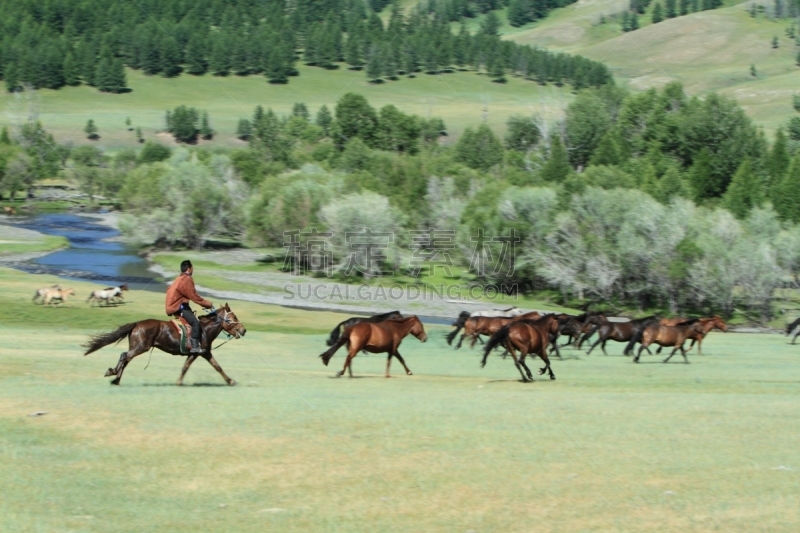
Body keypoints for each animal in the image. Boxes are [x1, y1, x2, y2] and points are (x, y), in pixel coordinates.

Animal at [83, 304, 247, 386]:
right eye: (233, 317)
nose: (244, 330)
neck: (205, 329)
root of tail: (137, 324)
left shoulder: (201, 353)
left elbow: (211, 366)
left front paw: (230, 380)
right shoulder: (200, 352)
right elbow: (213, 367)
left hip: (136, 347)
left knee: (126, 360)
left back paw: (116, 379)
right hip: (140, 347)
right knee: (124, 356)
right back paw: (112, 373)